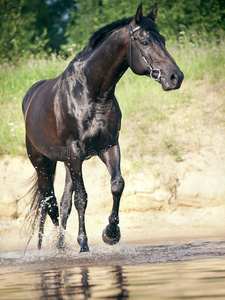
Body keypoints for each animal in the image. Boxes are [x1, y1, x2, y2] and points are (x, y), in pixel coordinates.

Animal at [22, 3, 184, 252]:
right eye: (145, 42)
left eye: (163, 40)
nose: (175, 77)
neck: (92, 92)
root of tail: (29, 98)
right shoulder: (76, 150)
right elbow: (82, 198)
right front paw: (83, 244)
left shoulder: (108, 146)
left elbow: (117, 185)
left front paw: (111, 233)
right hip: (43, 164)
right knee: (50, 204)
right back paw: (58, 245)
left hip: (66, 163)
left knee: (63, 203)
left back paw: (60, 244)